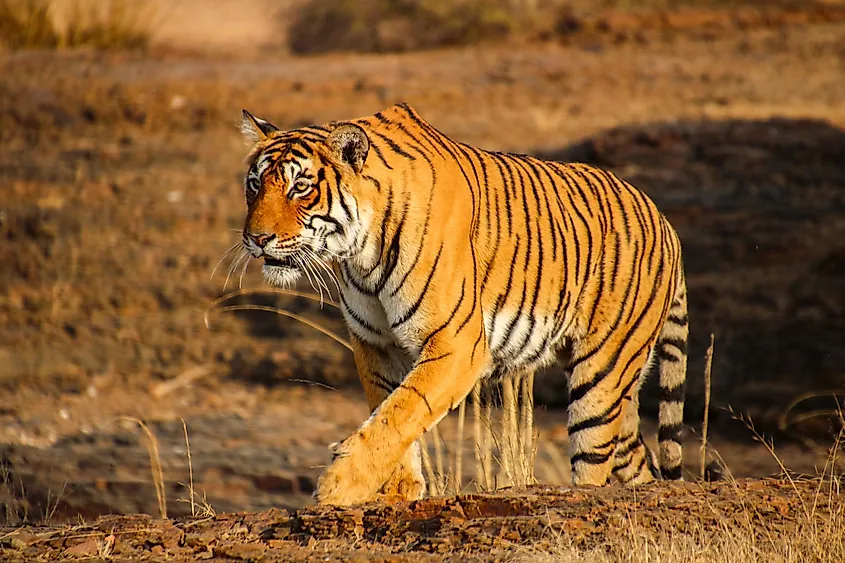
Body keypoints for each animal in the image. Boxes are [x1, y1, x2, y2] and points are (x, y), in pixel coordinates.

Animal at [238, 103, 688, 507]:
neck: (362, 253)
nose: (256, 239)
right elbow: (386, 408)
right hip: (619, 394)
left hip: (603, 373)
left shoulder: (456, 344)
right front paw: (397, 491)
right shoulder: (375, 343)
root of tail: (665, 221)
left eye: (300, 187)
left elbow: (402, 410)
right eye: (255, 185)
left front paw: (339, 484)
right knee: (641, 466)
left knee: (593, 463)